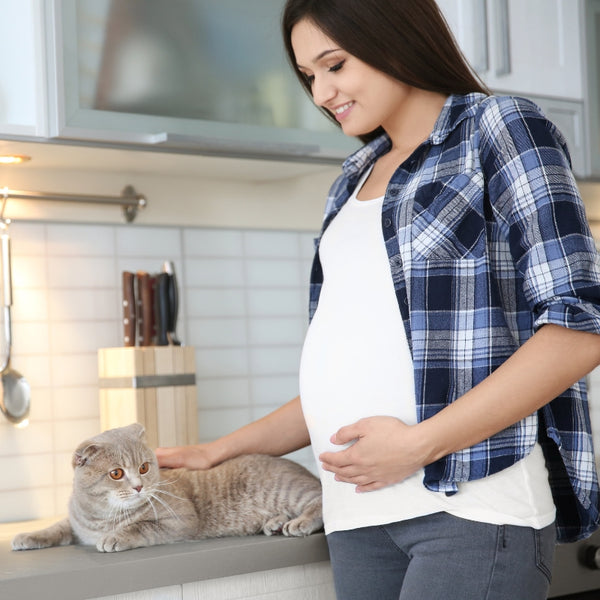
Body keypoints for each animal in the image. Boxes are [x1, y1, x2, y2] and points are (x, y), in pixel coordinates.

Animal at [11, 422, 322, 552]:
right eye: (116, 473)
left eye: (144, 468)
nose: (139, 487)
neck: (102, 517)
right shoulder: (76, 525)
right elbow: (56, 528)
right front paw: (27, 536)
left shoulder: (180, 520)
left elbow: (140, 527)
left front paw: (115, 537)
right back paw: (275, 522)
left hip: (289, 490)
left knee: (320, 501)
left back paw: (298, 522)